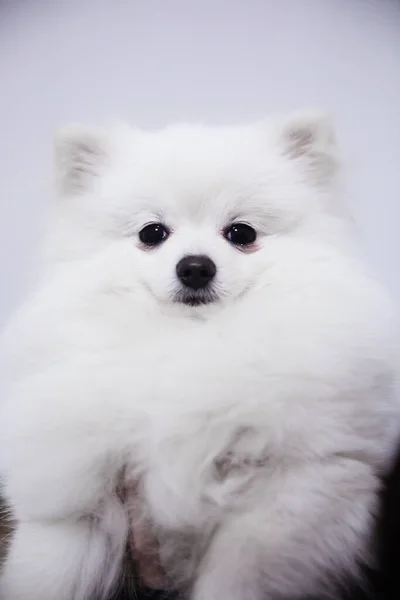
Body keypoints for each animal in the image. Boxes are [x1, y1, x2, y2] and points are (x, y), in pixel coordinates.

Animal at [0, 109, 400, 600]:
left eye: (241, 233)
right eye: (152, 233)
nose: (194, 267)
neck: (193, 339)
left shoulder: (296, 487)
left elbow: (239, 576)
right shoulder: (75, 502)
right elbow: (48, 569)